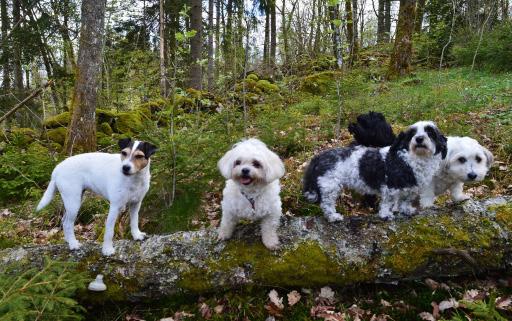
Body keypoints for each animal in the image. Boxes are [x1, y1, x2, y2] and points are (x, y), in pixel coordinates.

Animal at [302, 116, 446, 221]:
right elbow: (388, 202)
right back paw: (333, 216)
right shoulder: (390, 187)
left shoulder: (411, 188)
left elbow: (405, 200)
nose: (419, 138)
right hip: (330, 185)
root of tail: (319, 157)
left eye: (430, 132)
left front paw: (406, 210)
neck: (413, 158)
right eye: (412, 133)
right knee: (326, 204)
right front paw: (386, 215)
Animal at [348, 112, 492, 208]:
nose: (472, 175)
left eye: (478, 159)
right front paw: (427, 205)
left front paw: (460, 198)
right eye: (461, 159)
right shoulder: (426, 181)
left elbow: (456, 189)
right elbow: (427, 192)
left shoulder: (455, 179)